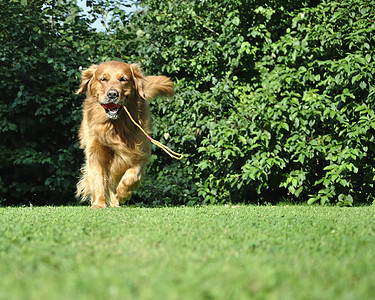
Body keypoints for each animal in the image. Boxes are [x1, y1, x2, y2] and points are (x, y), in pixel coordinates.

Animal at [76, 59, 176, 207]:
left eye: (123, 79)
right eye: (103, 79)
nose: (113, 94)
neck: (115, 127)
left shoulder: (139, 152)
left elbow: (132, 176)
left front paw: (123, 193)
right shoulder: (95, 152)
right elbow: (98, 180)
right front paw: (99, 204)